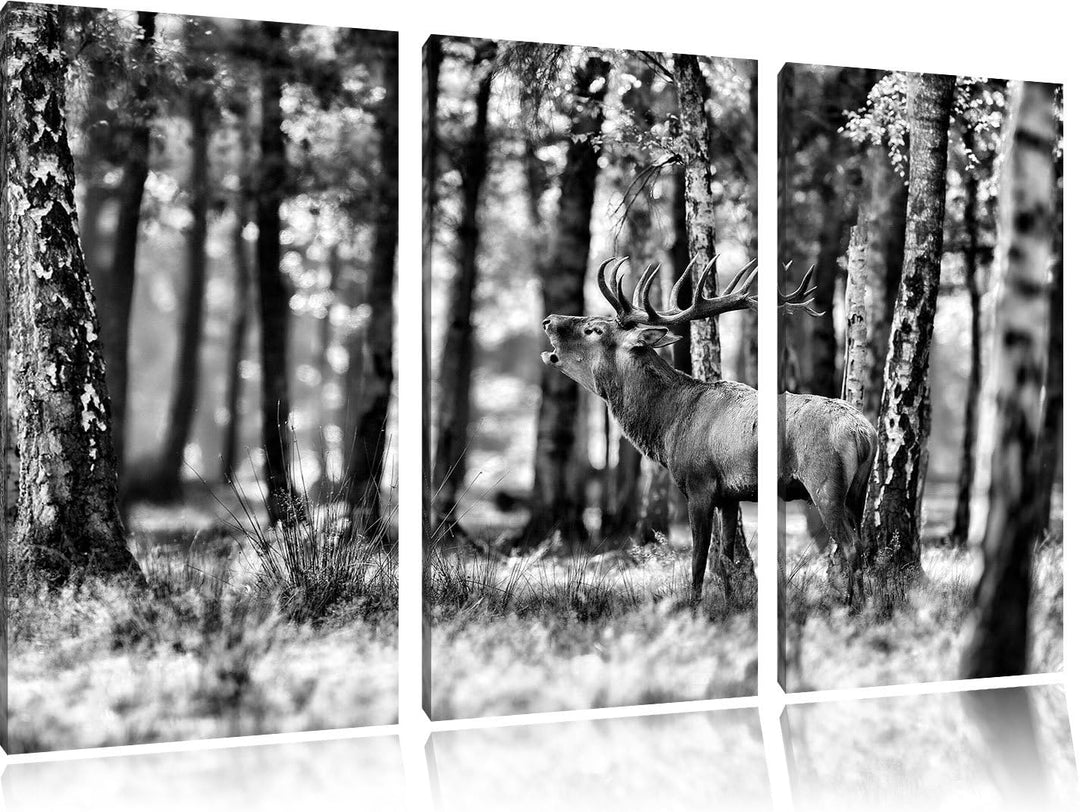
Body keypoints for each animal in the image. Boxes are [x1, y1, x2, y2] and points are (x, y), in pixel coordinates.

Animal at [541, 256, 877, 601]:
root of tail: (863, 433)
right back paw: (866, 601)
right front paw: (730, 603)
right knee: (864, 541)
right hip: (859, 488)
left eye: (593, 329)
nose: (549, 320)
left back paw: (849, 603)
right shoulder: (730, 496)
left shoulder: (698, 484)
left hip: (825, 482)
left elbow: (699, 559)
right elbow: (727, 558)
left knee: (850, 545)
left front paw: (694, 604)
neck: (668, 426)